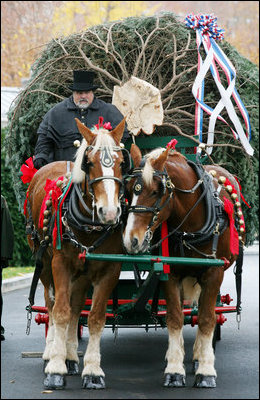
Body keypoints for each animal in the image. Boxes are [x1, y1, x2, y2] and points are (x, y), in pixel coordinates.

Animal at [26, 117, 128, 390]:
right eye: (89, 163)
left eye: (121, 163)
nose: (109, 212)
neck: (89, 227)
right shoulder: (60, 264)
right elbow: (60, 312)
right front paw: (55, 368)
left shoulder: (109, 269)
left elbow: (94, 317)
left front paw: (92, 370)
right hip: (46, 263)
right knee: (52, 304)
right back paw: (52, 351)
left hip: (82, 273)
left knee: (76, 306)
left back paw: (71, 357)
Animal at [123, 144, 245, 388]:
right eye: (129, 190)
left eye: (156, 191)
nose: (131, 240)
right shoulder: (170, 274)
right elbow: (175, 317)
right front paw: (174, 369)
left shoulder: (213, 274)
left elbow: (206, 318)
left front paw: (205, 371)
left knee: (202, 312)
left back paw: (199, 356)